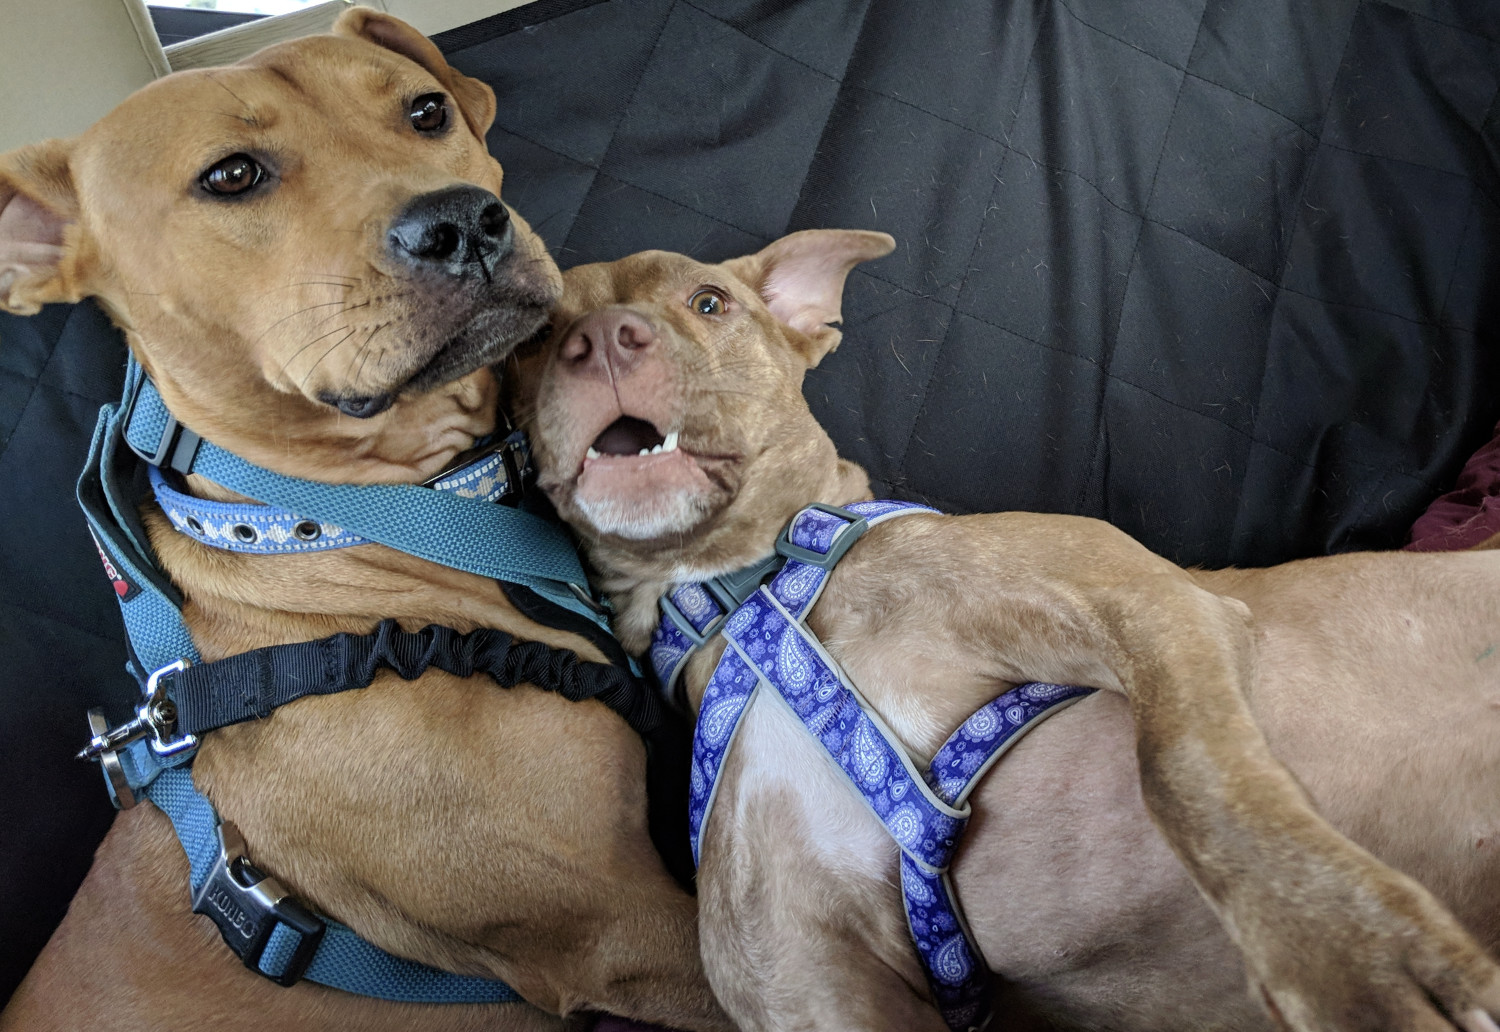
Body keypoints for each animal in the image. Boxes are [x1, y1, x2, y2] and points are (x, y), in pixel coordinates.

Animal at [516, 232, 1500, 1032]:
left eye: (709, 302)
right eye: (535, 340)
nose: (603, 339)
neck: (745, 593)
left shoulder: (1146, 602)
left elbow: (1187, 775)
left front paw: (1347, 956)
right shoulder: (811, 984)